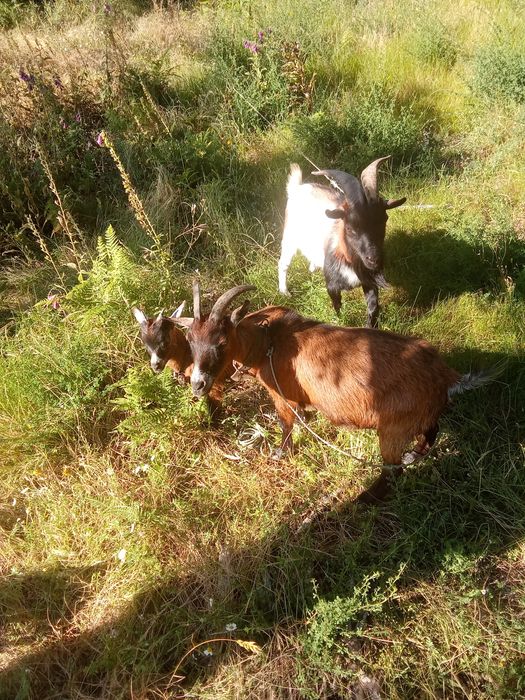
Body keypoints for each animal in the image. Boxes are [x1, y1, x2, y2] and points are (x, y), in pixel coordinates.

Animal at [175, 284, 496, 467]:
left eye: (222, 342)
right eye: (189, 339)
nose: (198, 384)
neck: (267, 340)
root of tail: (445, 375)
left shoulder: (279, 393)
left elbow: (285, 423)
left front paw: (280, 453)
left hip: (401, 420)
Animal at [278, 157, 406, 327]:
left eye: (384, 220)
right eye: (349, 228)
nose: (374, 259)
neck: (348, 257)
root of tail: (298, 188)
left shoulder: (368, 280)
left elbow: (373, 307)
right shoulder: (332, 286)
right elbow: (337, 307)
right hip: (290, 237)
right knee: (283, 263)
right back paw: (284, 291)